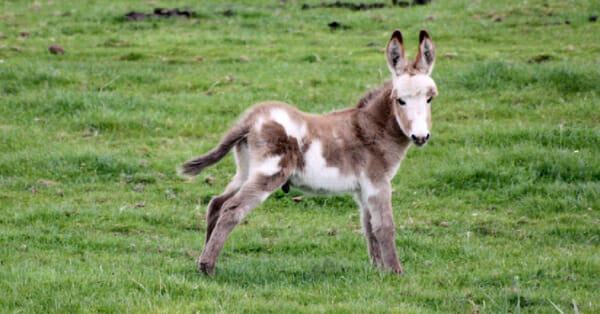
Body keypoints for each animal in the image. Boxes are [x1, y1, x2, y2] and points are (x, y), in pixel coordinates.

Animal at [180, 29, 438, 274]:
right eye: (400, 100)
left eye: (429, 99)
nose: (420, 137)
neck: (372, 127)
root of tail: (251, 119)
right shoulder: (378, 183)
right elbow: (385, 226)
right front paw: (395, 272)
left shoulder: (363, 189)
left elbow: (369, 227)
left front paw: (377, 269)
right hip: (270, 173)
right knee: (232, 209)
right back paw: (207, 267)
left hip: (246, 171)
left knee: (216, 204)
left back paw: (201, 260)